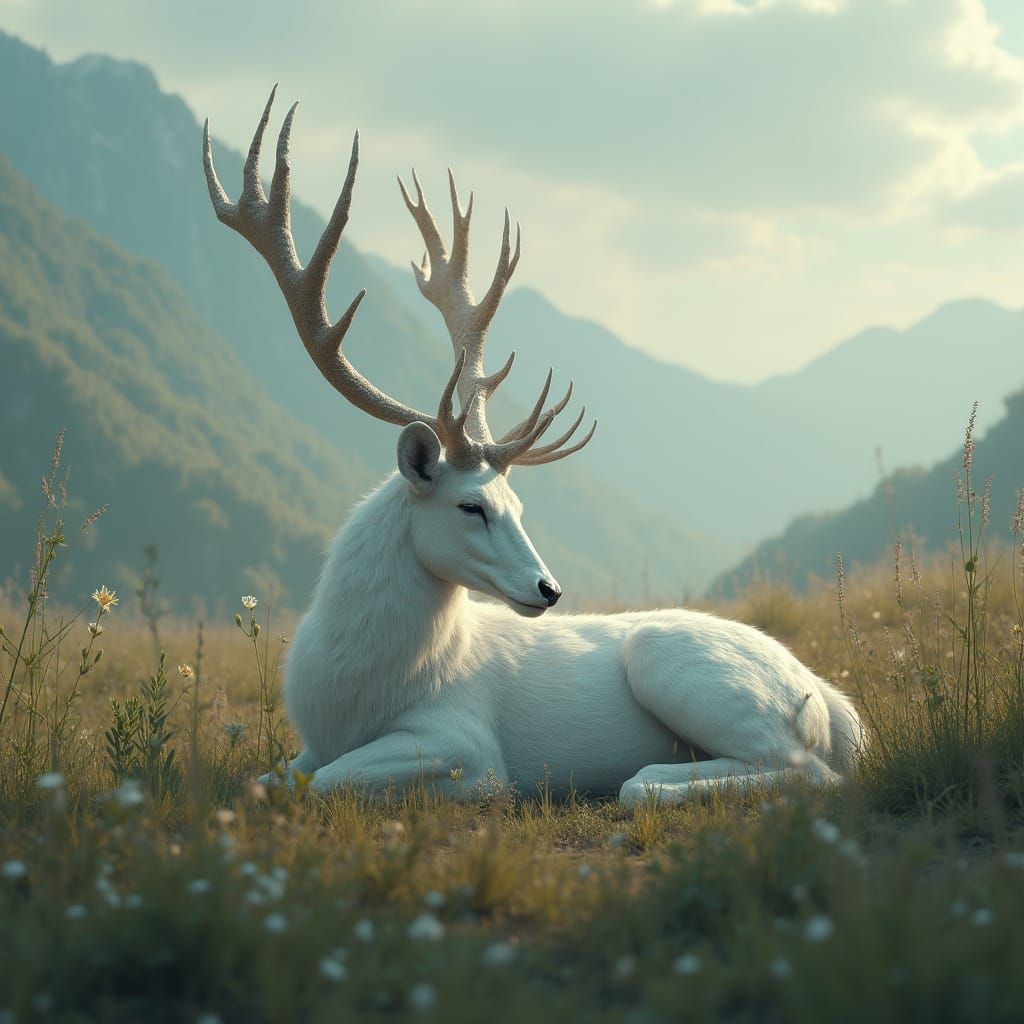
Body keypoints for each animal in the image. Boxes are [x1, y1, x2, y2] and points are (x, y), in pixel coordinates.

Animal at [202, 89, 865, 806]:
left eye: (517, 506)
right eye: (472, 506)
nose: (548, 589)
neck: (346, 697)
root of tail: (832, 702)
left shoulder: (465, 744)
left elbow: (327, 782)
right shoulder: (310, 746)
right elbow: (265, 780)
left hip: (679, 666)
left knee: (807, 772)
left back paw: (650, 778)